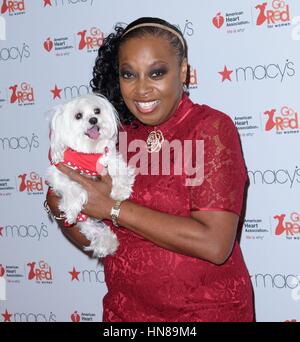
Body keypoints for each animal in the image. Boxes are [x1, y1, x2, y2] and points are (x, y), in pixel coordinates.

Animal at [45, 93, 135, 256]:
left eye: (97, 111)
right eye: (78, 116)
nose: (93, 119)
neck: (88, 152)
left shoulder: (108, 156)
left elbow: (118, 169)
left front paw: (120, 191)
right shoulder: (58, 172)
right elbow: (72, 188)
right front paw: (72, 208)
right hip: (84, 217)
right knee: (89, 227)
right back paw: (106, 241)